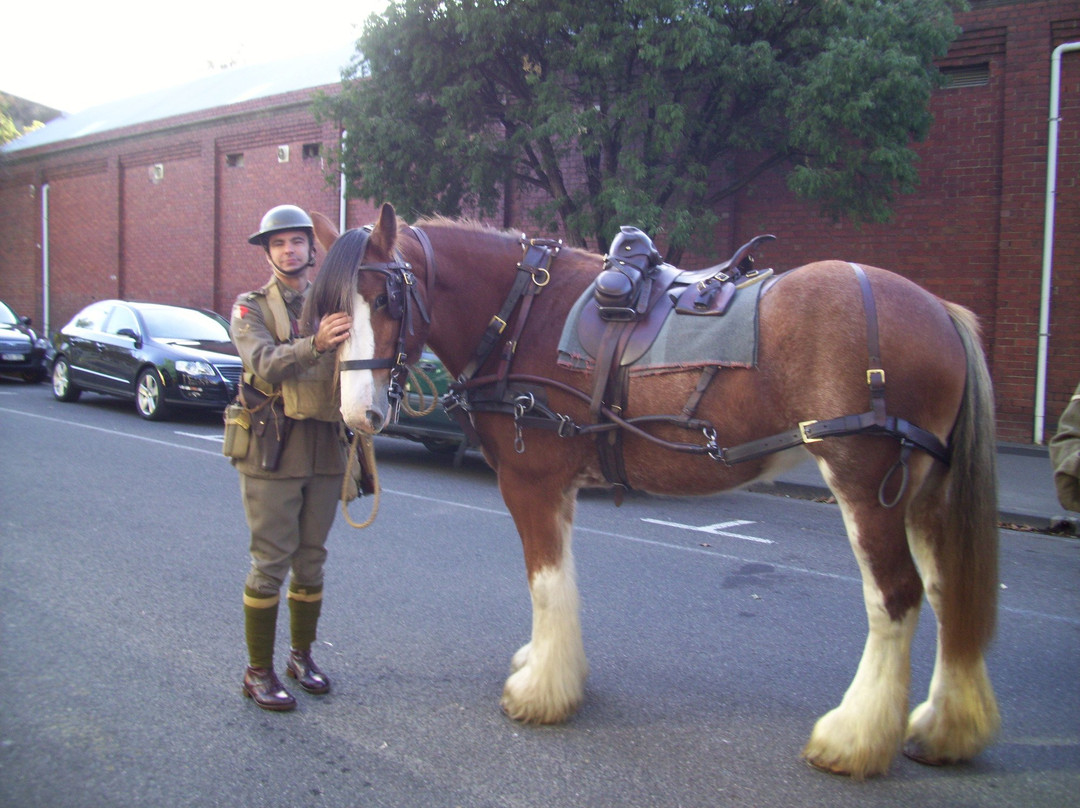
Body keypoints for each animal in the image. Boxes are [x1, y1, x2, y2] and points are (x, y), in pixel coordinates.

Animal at [305, 202, 1000, 779]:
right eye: (328, 309)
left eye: (388, 300)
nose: (358, 412)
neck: (524, 312)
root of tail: (939, 311)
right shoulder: (559, 488)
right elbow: (560, 582)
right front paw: (552, 671)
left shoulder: (531, 481)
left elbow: (545, 582)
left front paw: (541, 693)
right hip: (925, 494)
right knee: (946, 590)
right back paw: (945, 726)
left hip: (864, 483)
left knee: (895, 597)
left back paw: (854, 738)